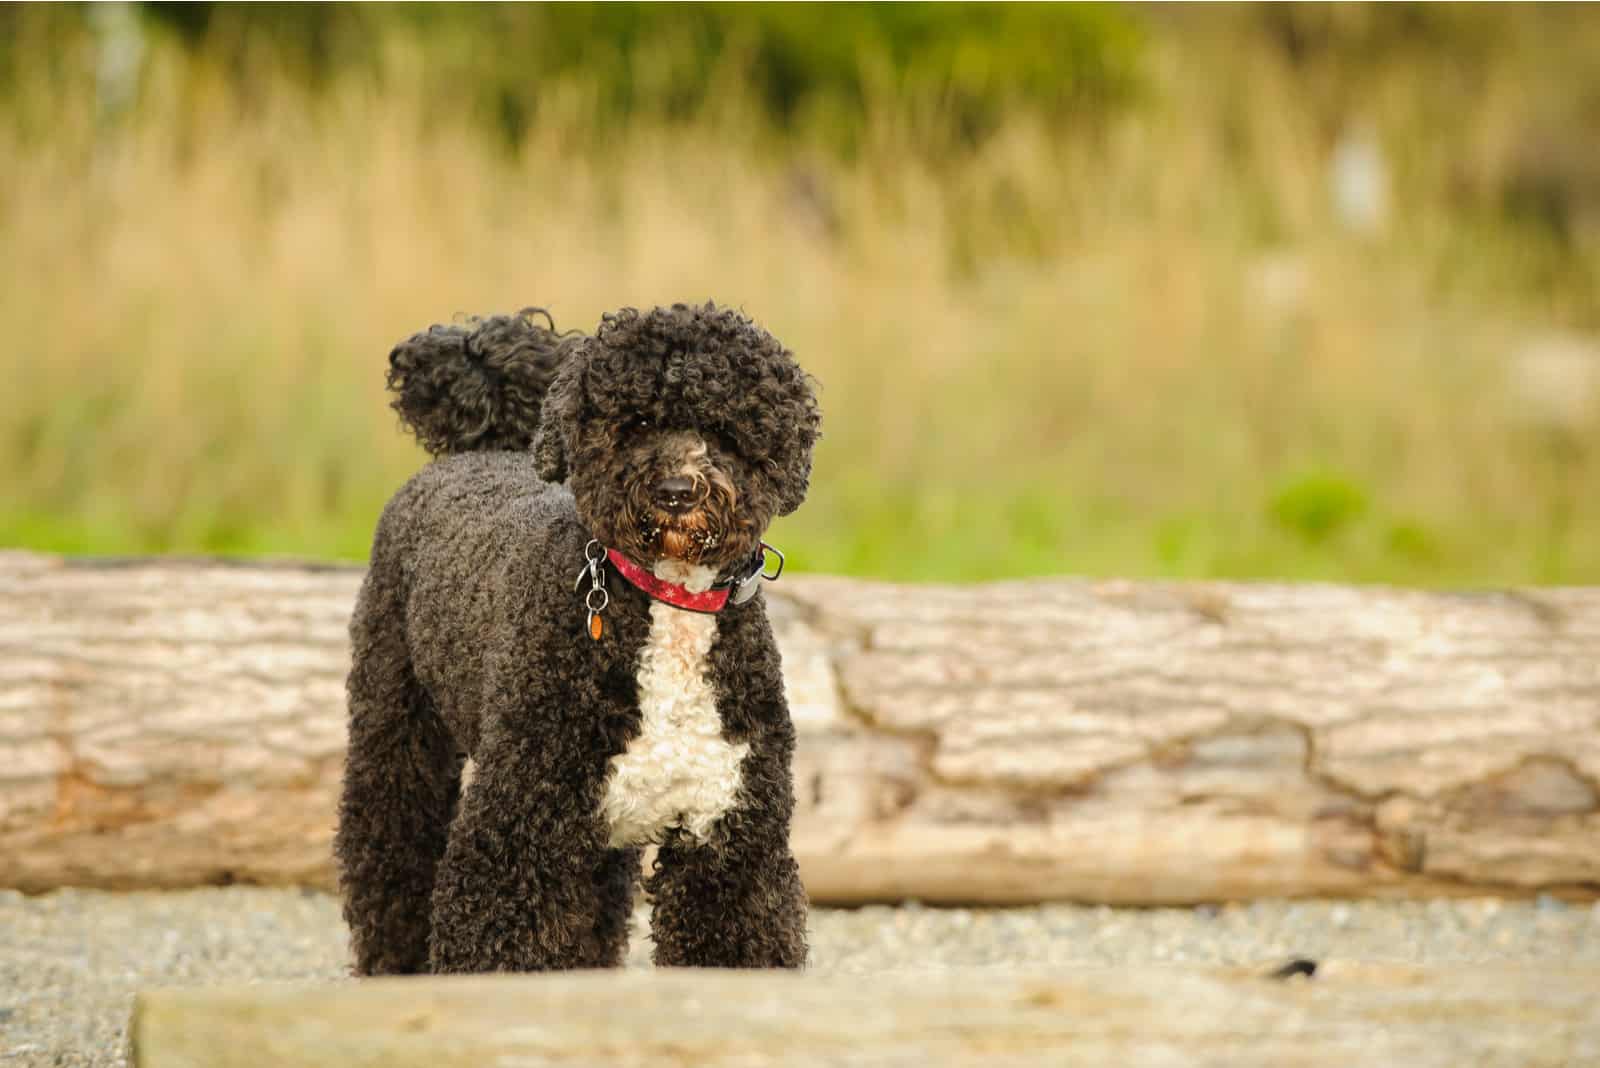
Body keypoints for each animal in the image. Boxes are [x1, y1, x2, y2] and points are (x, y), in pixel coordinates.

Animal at [332, 302, 819, 978]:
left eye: (724, 429)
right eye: (636, 422)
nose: (677, 492)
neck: (666, 606)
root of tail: (480, 450)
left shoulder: (728, 841)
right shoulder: (515, 833)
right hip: (398, 732)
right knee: (389, 856)